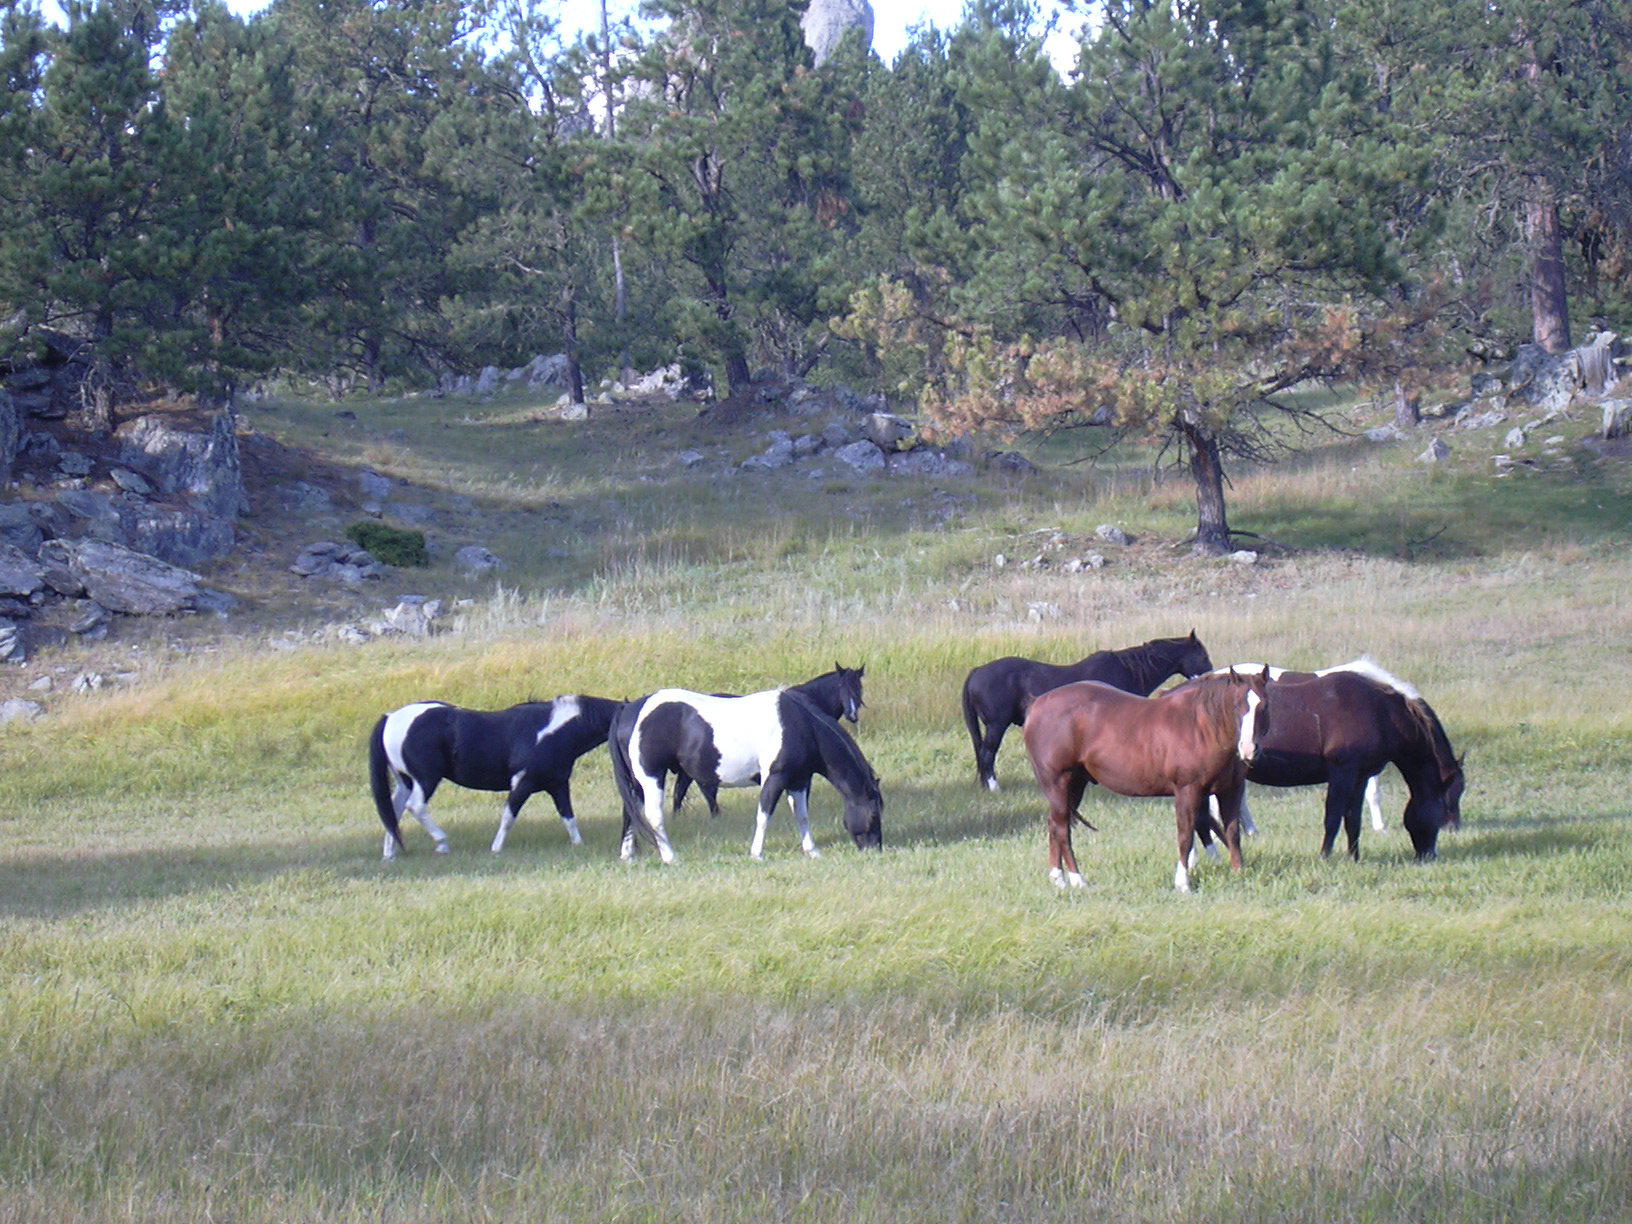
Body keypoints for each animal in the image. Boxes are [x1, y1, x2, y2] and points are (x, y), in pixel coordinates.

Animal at [369, 695, 621, 859]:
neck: (550, 732)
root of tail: (391, 718)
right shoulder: (522, 784)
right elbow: (509, 817)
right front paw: (496, 849)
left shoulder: (558, 785)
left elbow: (568, 817)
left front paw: (579, 845)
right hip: (426, 779)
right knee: (416, 807)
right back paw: (441, 843)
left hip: (405, 781)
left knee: (394, 812)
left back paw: (390, 854)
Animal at [609, 687, 883, 864]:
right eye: (874, 814)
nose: (875, 849)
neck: (802, 725)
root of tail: (630, 710)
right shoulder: (775, 779)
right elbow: (764, 815)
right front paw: (757, 854)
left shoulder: (799, 781)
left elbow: (803, 816)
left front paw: (812, 851)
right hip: (652, 777)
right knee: (653, 817)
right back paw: (670, 857)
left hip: (637, 782)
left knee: (630, 814)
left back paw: (627, 855)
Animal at [961, 632, 1214, 791]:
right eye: (1203, 656)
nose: (1212, 675)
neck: (1126, 670)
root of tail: (977, 671)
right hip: (997, 725)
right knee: (987, 754)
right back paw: (994, 787)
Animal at [1021, 670, 1270, 892]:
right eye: (1237, 706)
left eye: (1263, 706)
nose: (1249, 749)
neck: (1202, 727)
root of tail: (1037, 704)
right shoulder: (1187, 790)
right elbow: (1185, 835)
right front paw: (1183, 883)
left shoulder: (1231, 790)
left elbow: (1232, 833)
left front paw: (1239, 873)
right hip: (1058, 782)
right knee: (1062, 828)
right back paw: (1077, 879)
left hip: (1075, 785)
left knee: (1055, 825)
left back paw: (1058, 879)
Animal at [1193, 662, 1463, 862]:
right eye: (1444, 803)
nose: (1429, 855)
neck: (1379, 711)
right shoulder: (1342, 773)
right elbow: (1333, 817)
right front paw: (1325, 856)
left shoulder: (1360, 777)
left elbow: (1353, 820)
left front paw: (1354, 858)